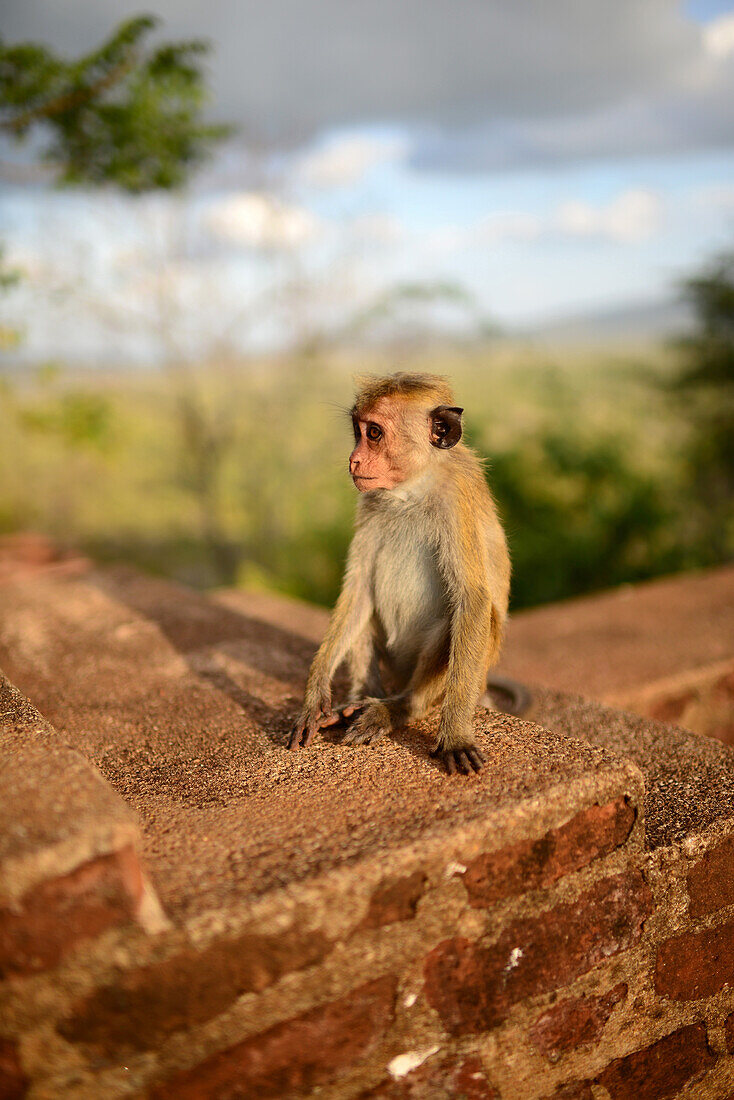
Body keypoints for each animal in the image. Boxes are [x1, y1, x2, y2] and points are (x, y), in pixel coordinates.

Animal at [290, 369, 519, 774]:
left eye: (374, 433)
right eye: (358, 431)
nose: (354, 460)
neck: (411, 490)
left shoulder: (455, 500)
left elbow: (472, 601)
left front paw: (455, 734)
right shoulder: (370, 502)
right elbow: (359, 589)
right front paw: (314, 694)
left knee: (463, 619)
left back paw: (399, 708)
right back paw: (360, 698)